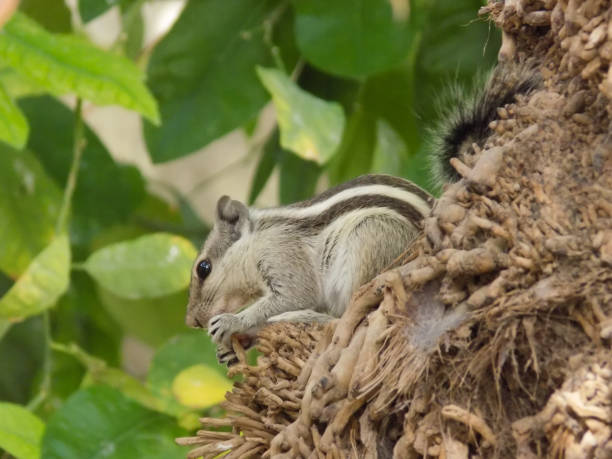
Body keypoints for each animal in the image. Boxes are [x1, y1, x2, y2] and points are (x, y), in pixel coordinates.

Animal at [186, 174, 436, 364]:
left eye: (204, 268)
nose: (191, 322)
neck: (256, 239)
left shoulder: (282, 254)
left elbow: (297, 295)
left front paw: (232, 322)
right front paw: (235, 345)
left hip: (369, 239)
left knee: (348, 317)